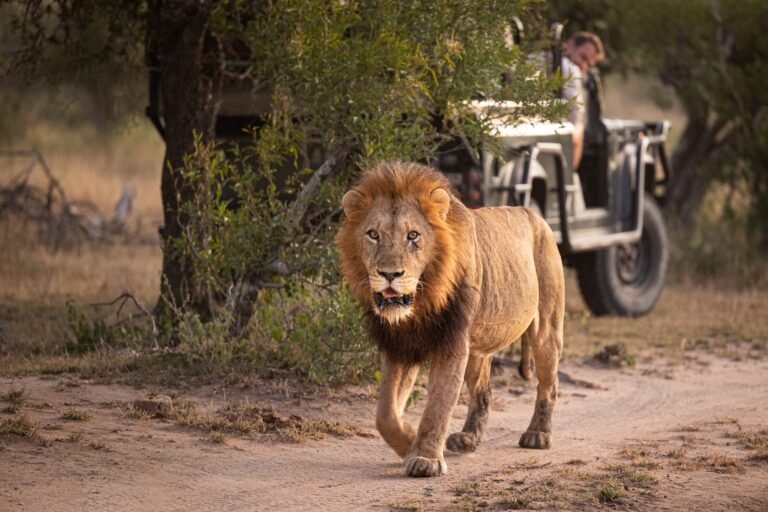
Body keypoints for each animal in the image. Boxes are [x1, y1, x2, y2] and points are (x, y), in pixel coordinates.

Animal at [336, 161, 564, 477]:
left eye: (413, 236)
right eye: (373, 234)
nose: (390, 274)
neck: (420, 302)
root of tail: (533, 214)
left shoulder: (452, 342)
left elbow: (439, 404)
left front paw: (425, 459)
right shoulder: (400, 346)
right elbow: (385, 414)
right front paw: (408, 441)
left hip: (546, 328)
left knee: (549, 383)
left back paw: (538, 434)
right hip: (478, 345)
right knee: (483, 390)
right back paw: (468, 439)